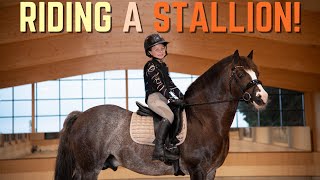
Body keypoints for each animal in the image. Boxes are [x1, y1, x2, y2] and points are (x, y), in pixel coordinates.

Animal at [54, 50, 268, 179]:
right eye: (240, 74)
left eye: (257, 72)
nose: (262, 98)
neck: (205, 120)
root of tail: (81, 116)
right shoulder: (198, 169)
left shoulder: (211, 171)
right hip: (89, 169)